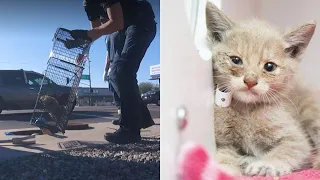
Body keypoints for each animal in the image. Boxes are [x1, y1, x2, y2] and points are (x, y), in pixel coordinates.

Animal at [206, 1, 320, 179]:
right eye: (236, 60)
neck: (247, 110)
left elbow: (287, 150)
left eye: (269, 66)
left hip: (311, 112)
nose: (250, 81)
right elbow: (224, 155)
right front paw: (225, 170)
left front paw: (266, 165)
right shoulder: (223, 142)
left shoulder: (297, 140)